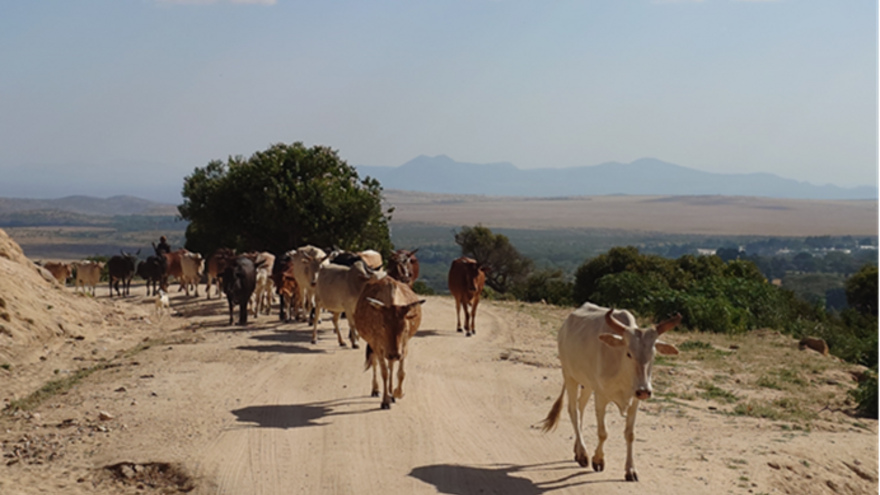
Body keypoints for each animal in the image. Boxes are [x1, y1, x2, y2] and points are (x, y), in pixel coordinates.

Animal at [356, 280, 428, 410]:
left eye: (405, 328)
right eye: (383, 325)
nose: (395, 355)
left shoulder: (403, 347)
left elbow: (401, 373)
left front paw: (397, 393)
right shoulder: (378, 346)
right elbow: (384, 372)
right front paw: (385, 400)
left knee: (391, 365)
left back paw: (390, 392)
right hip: (376, 348)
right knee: (375, 363)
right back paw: (376, 389)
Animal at [544, 304, 680, 482]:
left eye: (653, 355)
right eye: (629, 353)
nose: (644, 391)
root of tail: (565, 324)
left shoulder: (635, 401)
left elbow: (630, 434)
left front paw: (630, 470)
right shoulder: (601, 397)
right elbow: (603, 433)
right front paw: (598, 460)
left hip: (587, 384)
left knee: (580, 408)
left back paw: (577, 449)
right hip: (569, 375)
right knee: (573, 411)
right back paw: (582, 454)